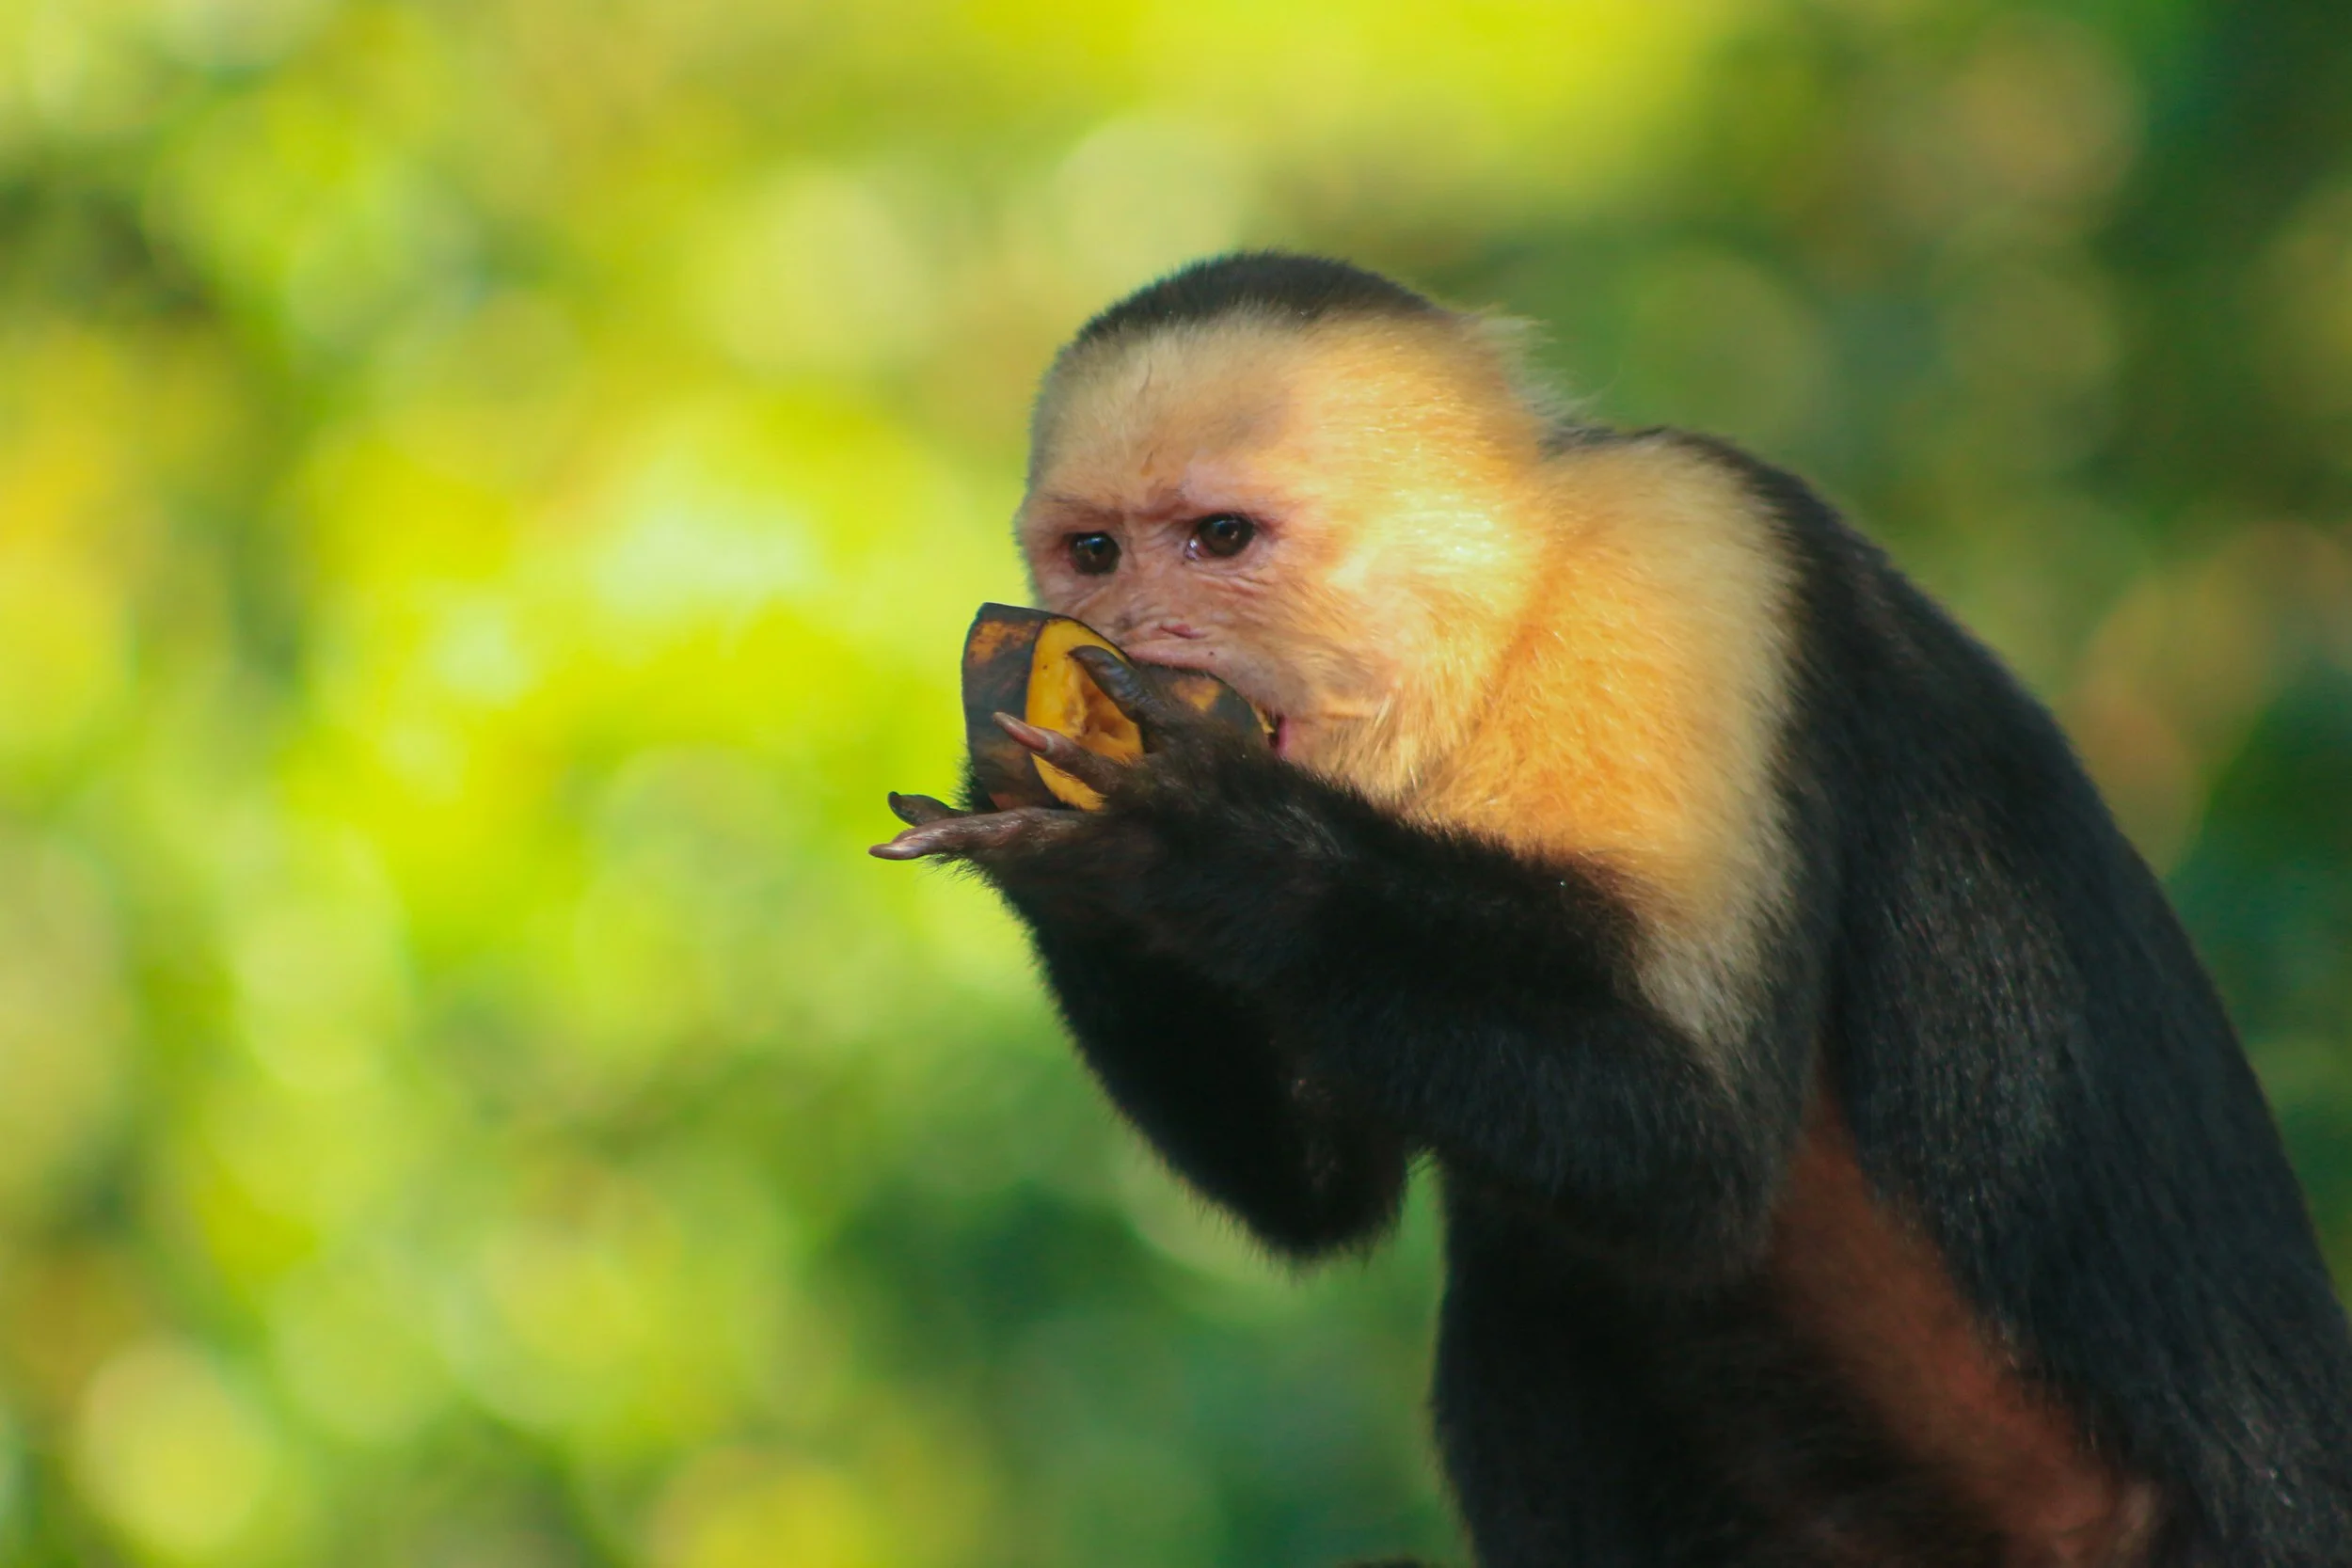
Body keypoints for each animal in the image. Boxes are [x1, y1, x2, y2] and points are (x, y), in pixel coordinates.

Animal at [870, 253, 2352, 1566]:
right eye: (1095, 552)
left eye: (1218, 539)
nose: (1136, 634)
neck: (1493, 644)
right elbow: (1323, 1193)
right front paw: (1062, 854)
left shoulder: (1686, 566)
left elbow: (1694, 1133)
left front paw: (1202, 837)